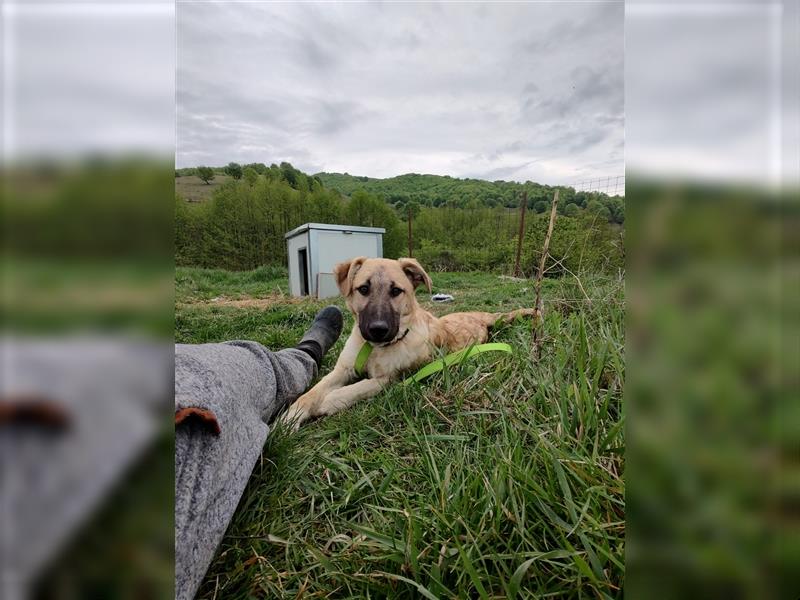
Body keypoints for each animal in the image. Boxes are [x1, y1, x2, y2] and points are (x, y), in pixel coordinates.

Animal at [282, 255, 536, 428]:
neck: (374, 349)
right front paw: (290, 418)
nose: (378, 330)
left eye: (396, 291)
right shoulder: (342, 369)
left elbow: (357, 388)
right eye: (363, 289)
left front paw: (330, 401)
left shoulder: (388, 379)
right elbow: (310, 393)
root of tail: (483, 317)